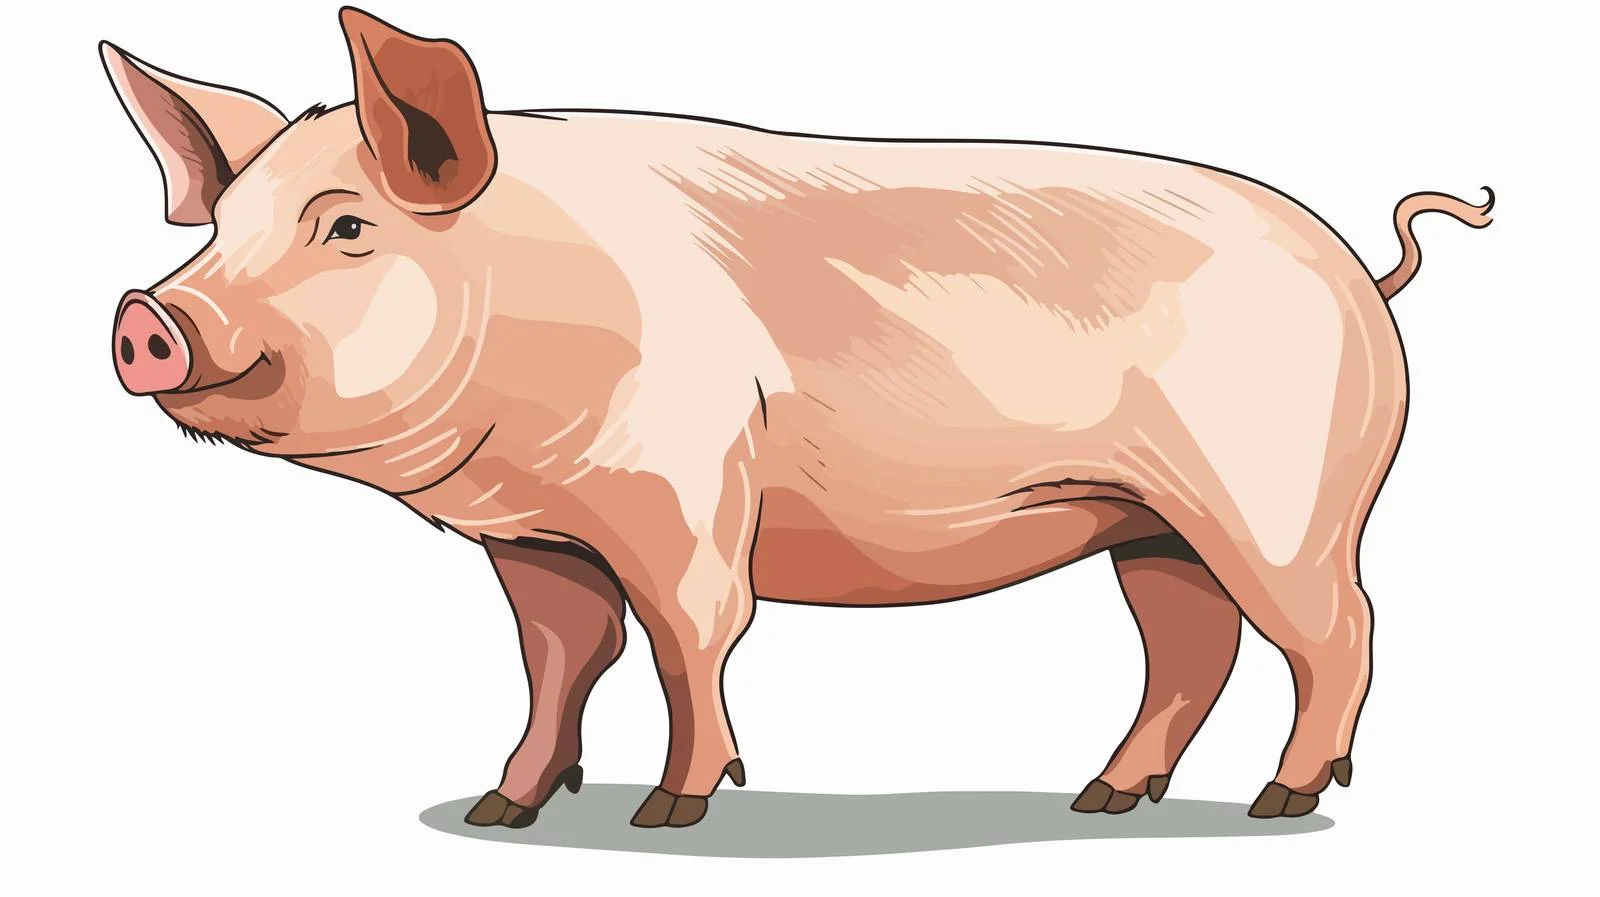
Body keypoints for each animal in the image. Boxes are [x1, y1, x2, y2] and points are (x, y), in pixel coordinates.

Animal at [103, 7, 1492, 829]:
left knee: (1338, 632)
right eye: (221, 227)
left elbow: (690, 639)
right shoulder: (535, 537)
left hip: (1281, 503)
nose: (146, 315)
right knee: (1190, 646)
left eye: (346, 226)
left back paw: (1278, 802)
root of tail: (1362, 273)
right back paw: (1105, 799)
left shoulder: (682, 494)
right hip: (1146, 521)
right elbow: (561, 658)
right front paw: (506, 810)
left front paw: (671, 815)